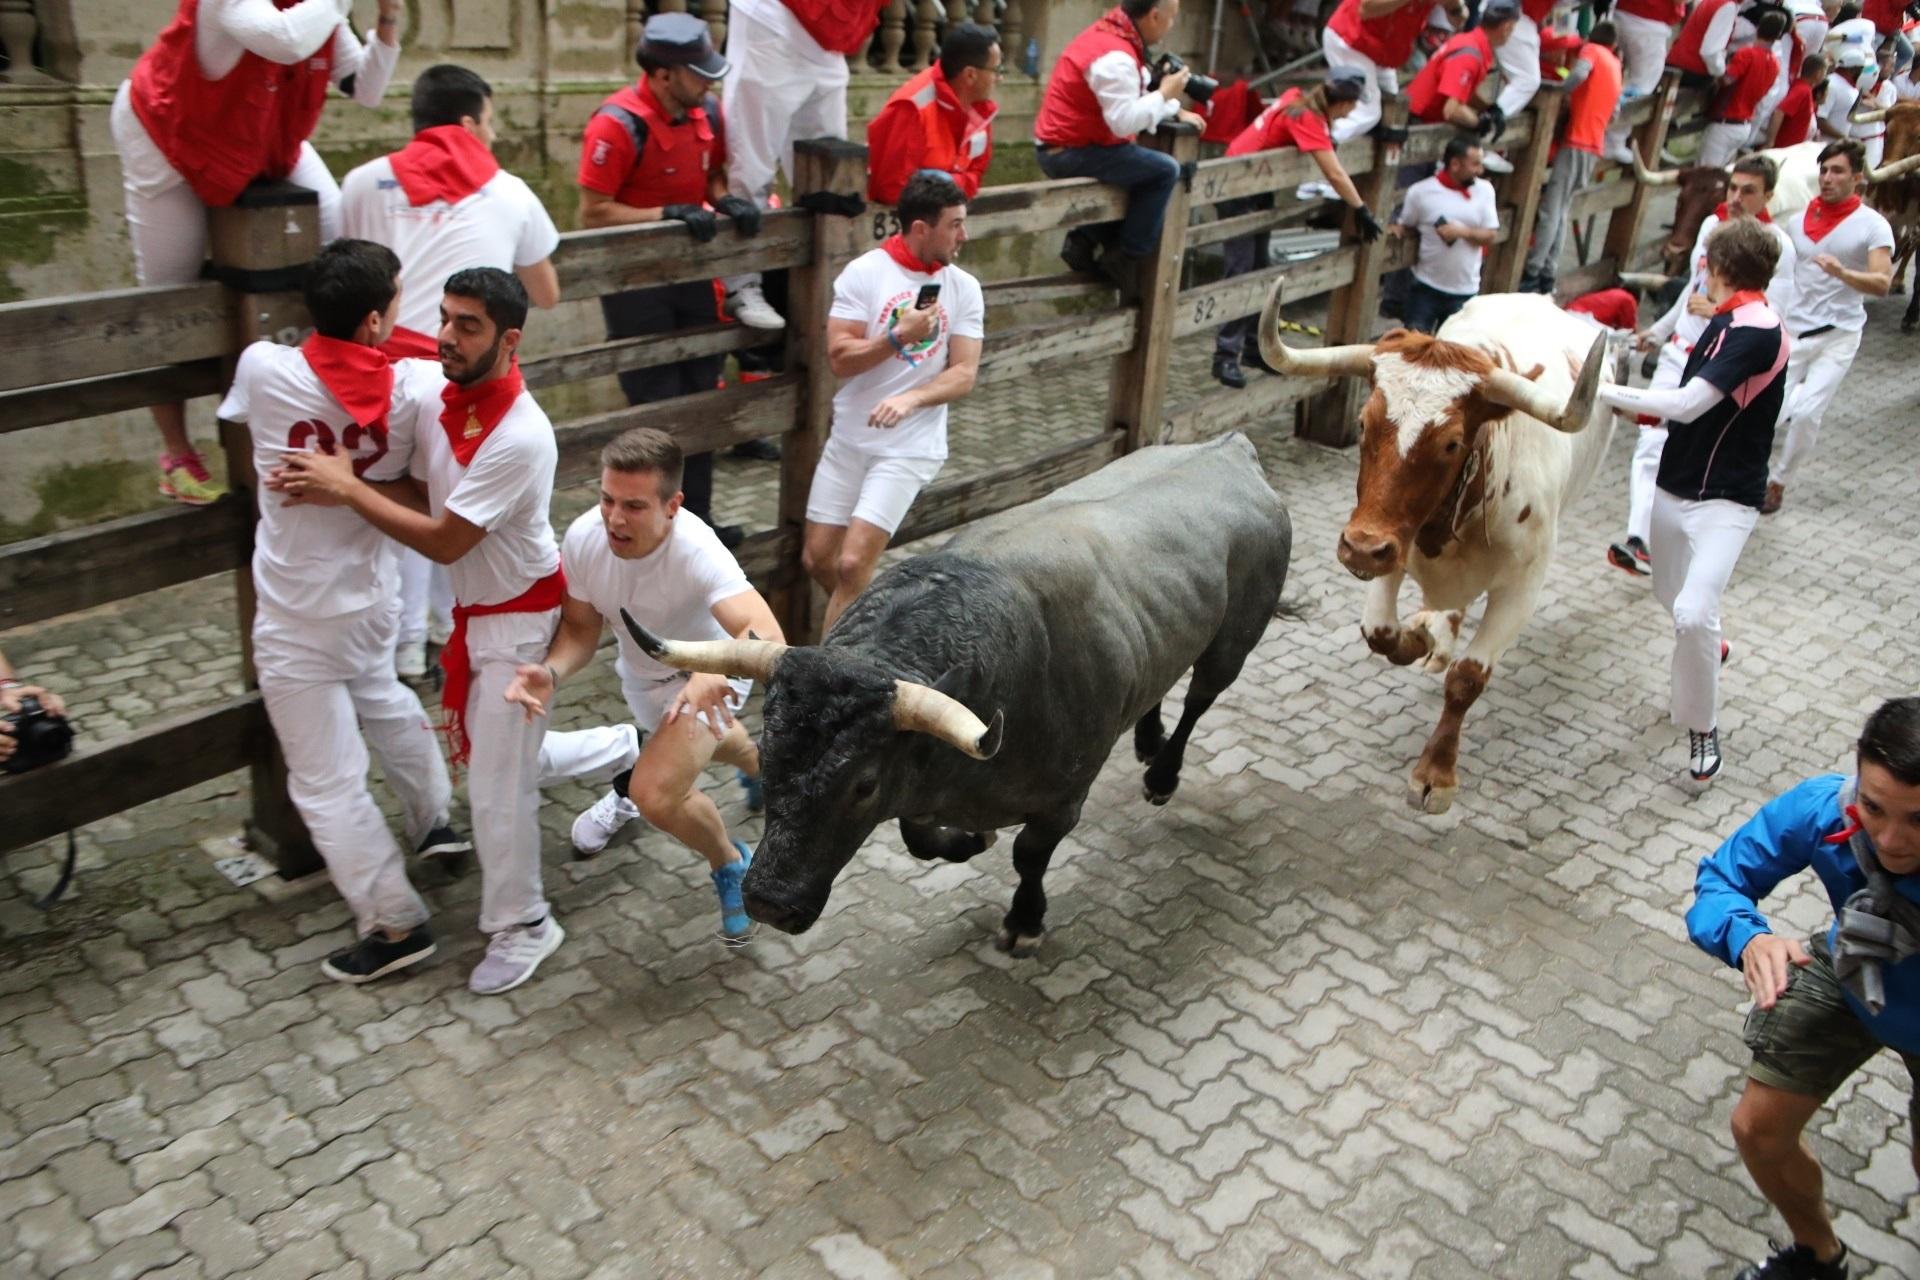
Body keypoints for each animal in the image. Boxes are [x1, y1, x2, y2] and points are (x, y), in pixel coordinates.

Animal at [622, 437, 1297, 951]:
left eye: (863, 784)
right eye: (766, 755)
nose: (767, 901)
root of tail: (1230, 449)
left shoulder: (1062, 799)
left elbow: (1029, 854)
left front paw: (1024, 920)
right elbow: (919, 839)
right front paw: (970, 840)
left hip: (1233, 642)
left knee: (1200, 698)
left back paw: (1162, 772)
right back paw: (1148, 738)